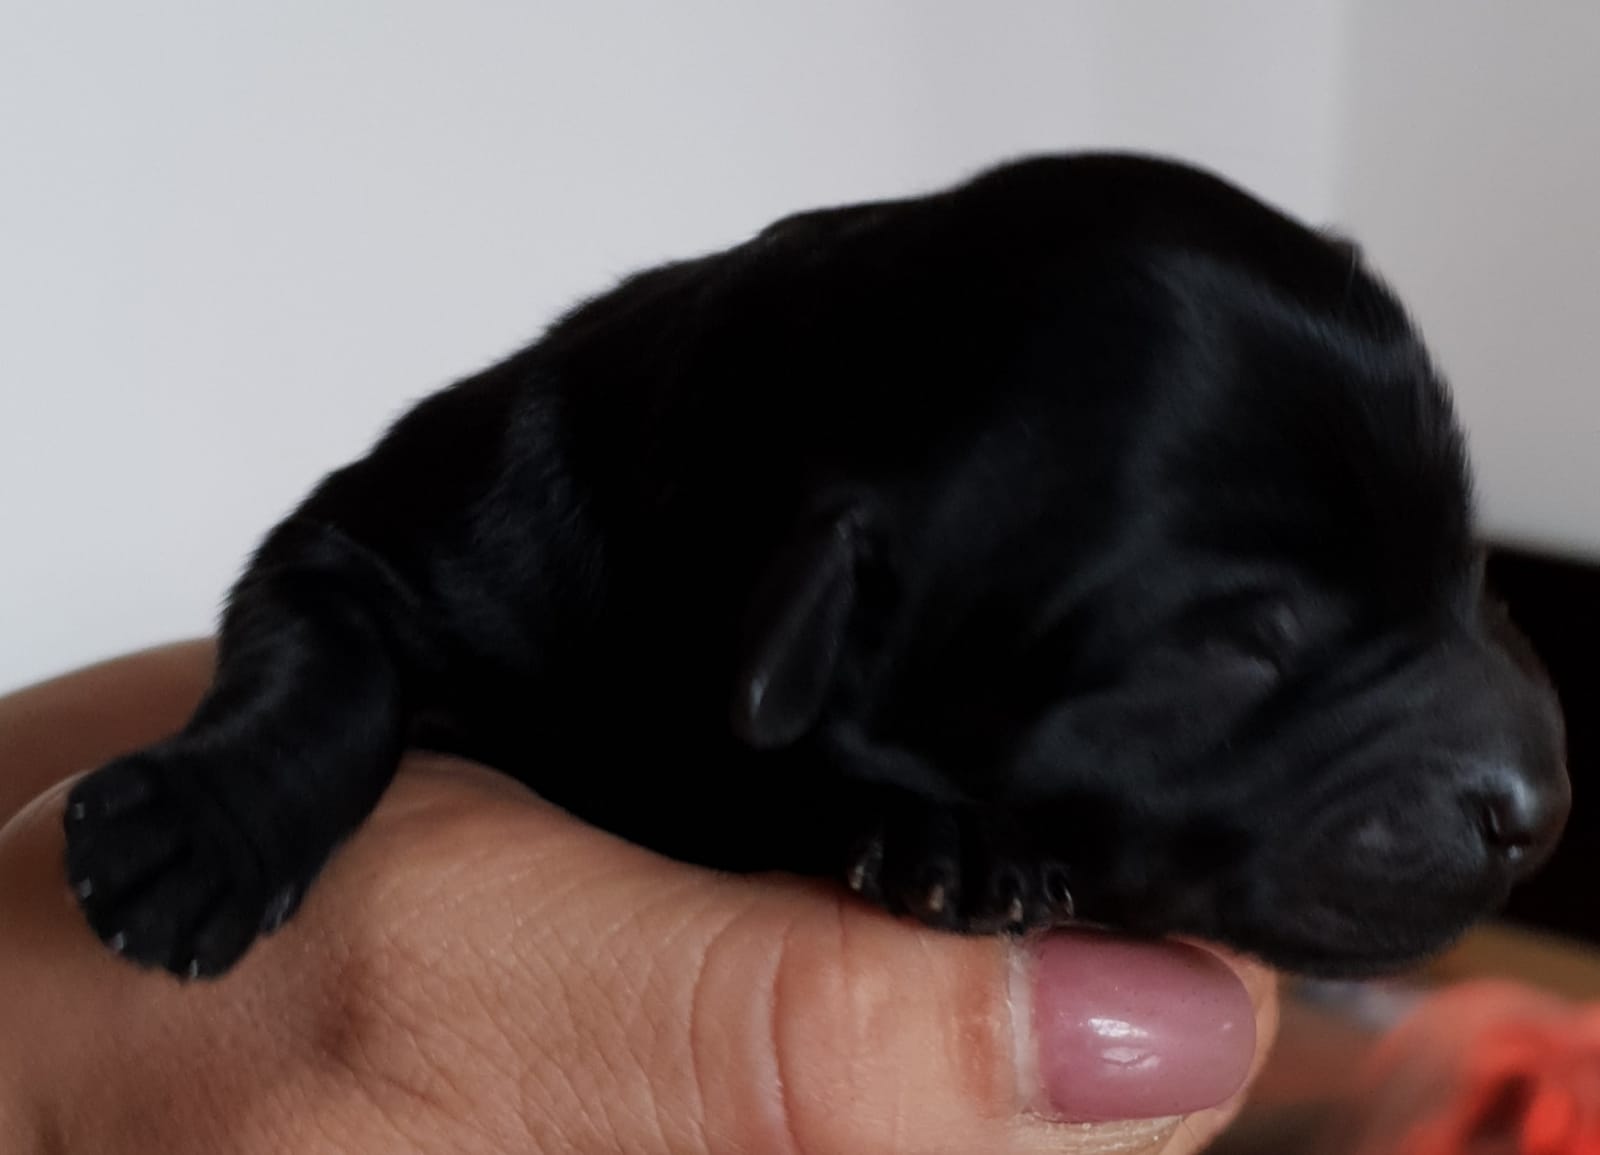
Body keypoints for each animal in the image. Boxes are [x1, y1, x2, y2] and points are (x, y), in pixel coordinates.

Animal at [62, 152, 1570, 981]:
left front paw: (934, 829)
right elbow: (331, 650)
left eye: (1466, 569)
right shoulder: (398, 541)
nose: (1539, 808)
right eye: (1246, 642)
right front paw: (197, 828)